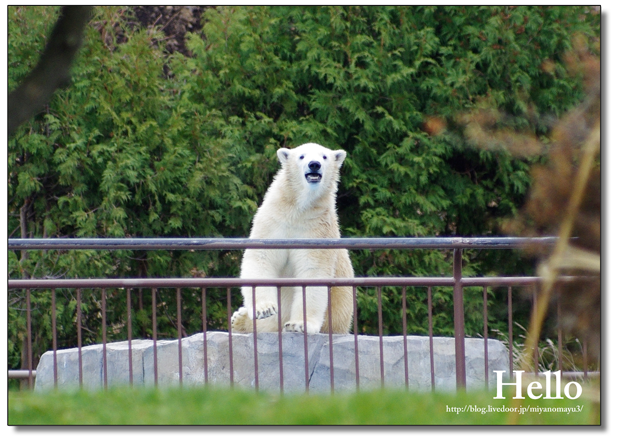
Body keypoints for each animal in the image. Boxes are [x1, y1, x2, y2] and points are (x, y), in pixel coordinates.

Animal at [231, 143, 354, 334]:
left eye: (324, 156)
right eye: (302, 156)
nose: (314, 164)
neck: (298, 210)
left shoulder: (317, 230)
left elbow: (312, 271)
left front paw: (300, 324)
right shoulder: (273, 222)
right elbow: (262, 257)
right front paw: (264, 309)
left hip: (339, 308)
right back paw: (240, 319)